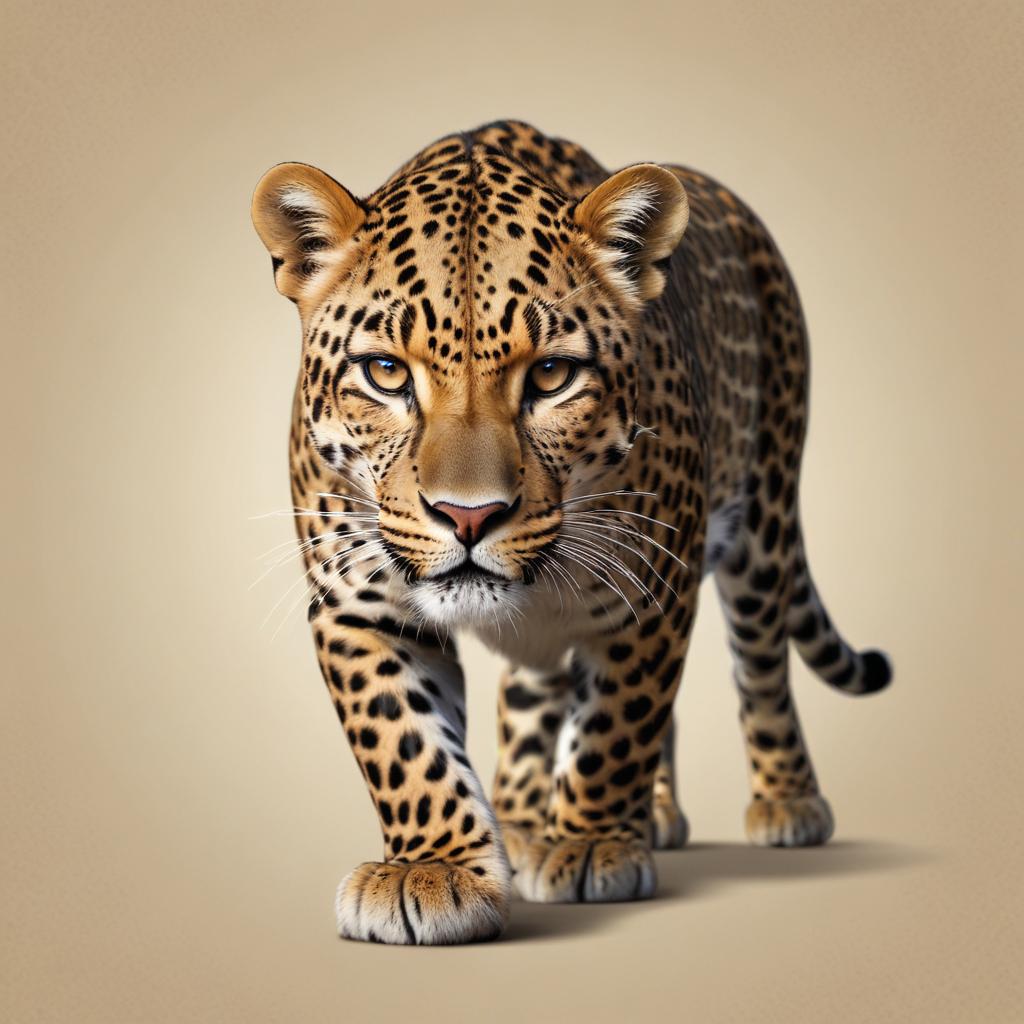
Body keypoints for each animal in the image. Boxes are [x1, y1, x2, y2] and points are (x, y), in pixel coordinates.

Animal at [250, 119, 892, 945]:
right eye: (386, 373)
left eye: (552, 376)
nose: (468, 515)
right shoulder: (359, 603)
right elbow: (402, 743)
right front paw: (435, 868)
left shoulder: (654, 587)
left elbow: (619, 723)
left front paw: (588, 844)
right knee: (536, 686)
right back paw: (539, 819)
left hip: (765, 517)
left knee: (760, 662)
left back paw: (783, 802)